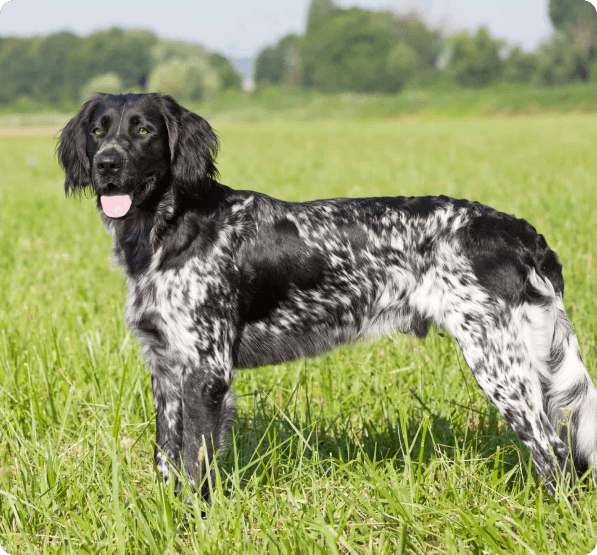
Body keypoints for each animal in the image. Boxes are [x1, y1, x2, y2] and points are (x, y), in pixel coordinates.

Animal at [58, 93, 596, 502]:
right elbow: (167, 458)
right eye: (99, 130)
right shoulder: (166, 367)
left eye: (144, 130)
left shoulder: (207, 371)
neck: (170, 228)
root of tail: (522, 233)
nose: (107, 164)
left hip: (499, 362)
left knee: (556, 454)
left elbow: (196, 462)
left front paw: (195, 521)